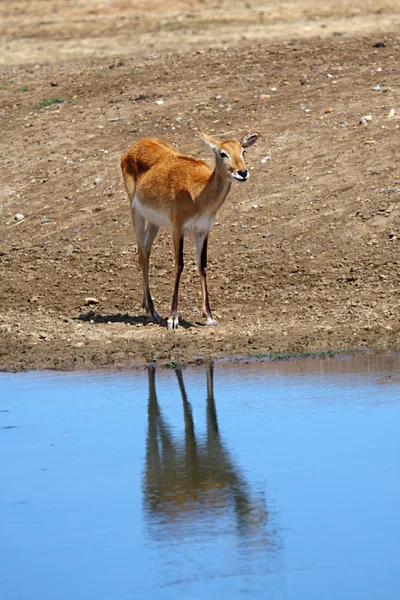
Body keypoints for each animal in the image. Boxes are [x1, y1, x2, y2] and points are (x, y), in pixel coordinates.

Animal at [121, 129, 260, 332]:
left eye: (243, 151)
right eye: (222, 153)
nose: (242, 172)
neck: (198, 195)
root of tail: (134, 147)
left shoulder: (202, 230)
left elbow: (202, 266)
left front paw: (210, 317)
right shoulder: (177, 228)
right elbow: (179, 265)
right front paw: (173, 319)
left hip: (154, 222)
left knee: (145, 251)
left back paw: (147, 306)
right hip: (136, 213)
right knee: (141, 254)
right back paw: (152, 311)